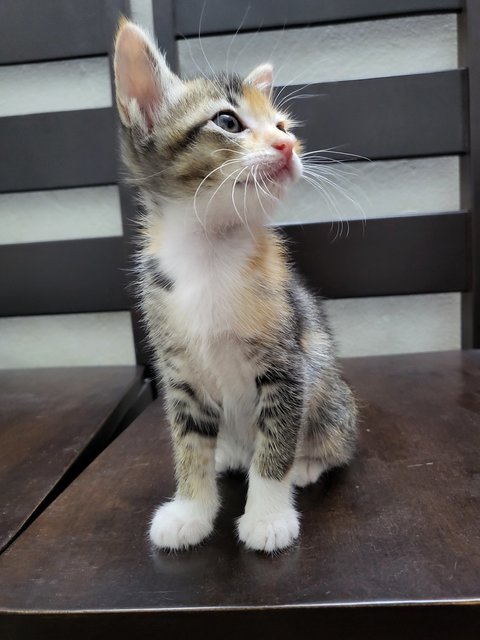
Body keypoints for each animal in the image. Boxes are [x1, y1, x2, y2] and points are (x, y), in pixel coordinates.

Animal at [114, 17, 358, 552]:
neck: (211, 256)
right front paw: (191, 509)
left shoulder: (288, 365)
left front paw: (268, 516)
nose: (288, 146)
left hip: (330, 393)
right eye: (227, 122)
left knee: (335, 440)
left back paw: (308, 463)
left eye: (283, 126)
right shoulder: (178, 370)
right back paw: (228, 452)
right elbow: (188, 446)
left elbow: (276, 444)